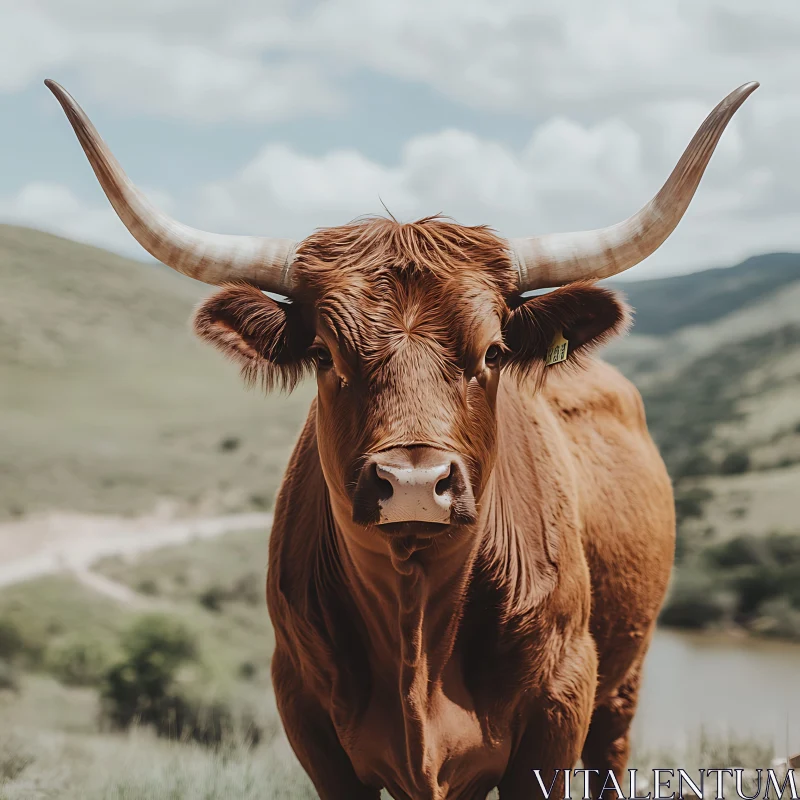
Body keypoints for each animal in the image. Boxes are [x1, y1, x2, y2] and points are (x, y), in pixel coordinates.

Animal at [47, 76, 760, 800]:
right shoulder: (306, 714)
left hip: (622, 684)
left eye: (494, 352)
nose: (416, 483)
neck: (416, 622)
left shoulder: (560, 704)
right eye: (326, 353)